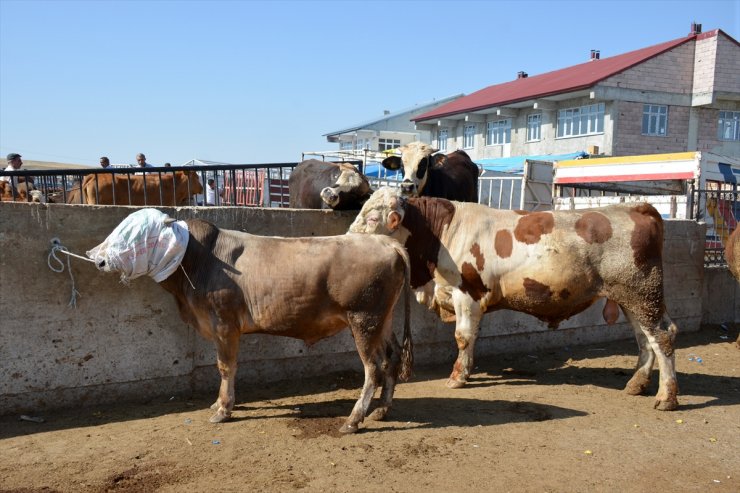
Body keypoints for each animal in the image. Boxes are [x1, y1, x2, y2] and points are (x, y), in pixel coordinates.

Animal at [89, 209, 414, 432]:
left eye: (134, 233)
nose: (96, 258)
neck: (199, 260)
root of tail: (386, 242)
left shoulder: (224, 323)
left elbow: (225, 366)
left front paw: (223, 409)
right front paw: (220, 402)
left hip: (363, 319)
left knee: (372, 368)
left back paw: (354, 419)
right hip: (382, 320)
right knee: (392, 358)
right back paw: (382, 410)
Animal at [350, 188, 680, 412]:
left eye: (372, 217)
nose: (348, 238)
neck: (440, 232)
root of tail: (638, 207)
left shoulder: (466, 293)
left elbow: (463, 337)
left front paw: (457, 377)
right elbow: (473, 338)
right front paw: (467, 371)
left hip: (642, 292)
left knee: (661, 336)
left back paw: (667, 396)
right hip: (633, 296)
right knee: (645, 338)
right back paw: (637, 384)